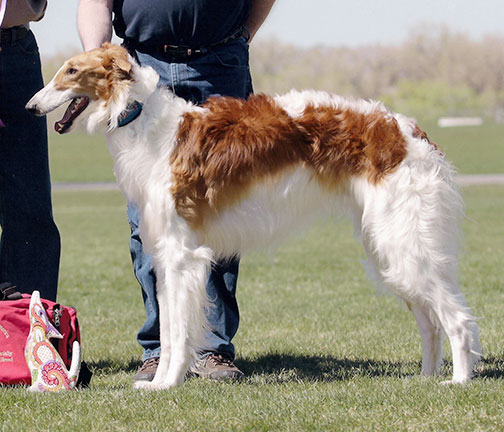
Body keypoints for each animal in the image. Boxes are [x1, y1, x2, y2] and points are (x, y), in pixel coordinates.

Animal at [26, 43, 480, 388]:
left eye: (70, 71)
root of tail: (411, 131)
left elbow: (179, 333)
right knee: (430, 322)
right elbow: (170, 331)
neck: (144, 120)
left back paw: (458, 380)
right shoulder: (165, 256)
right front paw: (157, 382)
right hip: (389, 249)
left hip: (404, 243)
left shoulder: (181, 256)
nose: (30, 106)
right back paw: (424, 378)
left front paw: (166, 385)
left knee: (457, 319)